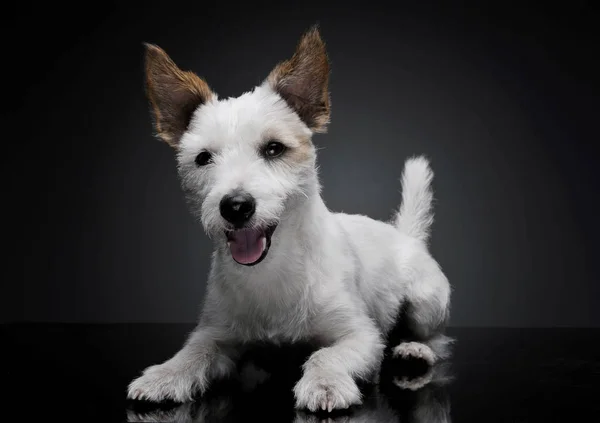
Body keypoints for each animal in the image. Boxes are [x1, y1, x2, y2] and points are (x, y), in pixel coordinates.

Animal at [127, 24, 454, 412]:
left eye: (274, 149)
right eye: (203, 158)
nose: (235, 206)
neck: (272, 270)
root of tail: (405, 236)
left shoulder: (360, 336)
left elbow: (326, 355)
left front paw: (325, 383)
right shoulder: (216, 333)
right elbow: (193, 352)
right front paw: (165, 375)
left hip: (426, 300)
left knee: (435, 338)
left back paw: (414, 349)